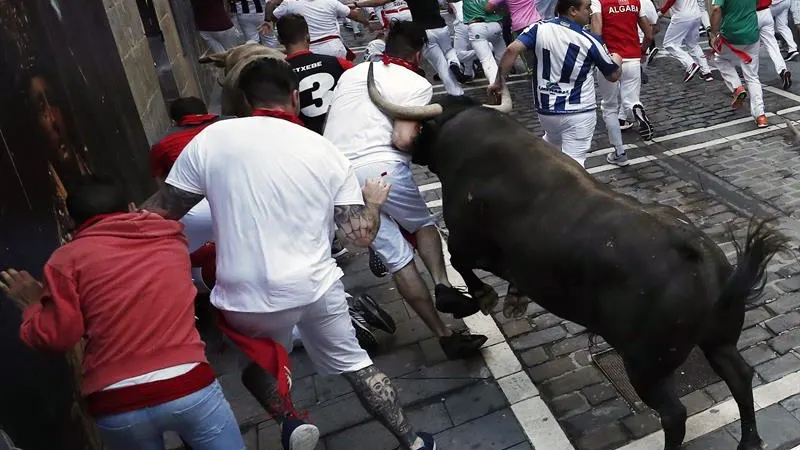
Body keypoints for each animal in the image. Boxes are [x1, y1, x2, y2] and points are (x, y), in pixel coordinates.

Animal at [368, 63, 788, 450]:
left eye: (421, 127)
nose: (402, 145)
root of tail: (699, 253)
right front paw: (514, 300)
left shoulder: (468, 239)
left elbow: (459, 261)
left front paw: (487, 298)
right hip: (719, 339)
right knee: (740, 376)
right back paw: (750, 441)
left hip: (645, 365)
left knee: (675, 413)